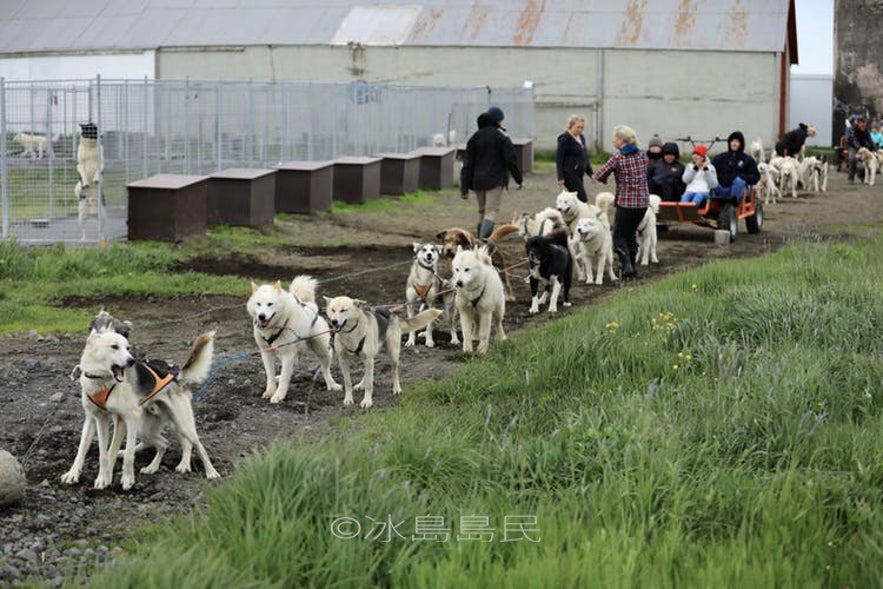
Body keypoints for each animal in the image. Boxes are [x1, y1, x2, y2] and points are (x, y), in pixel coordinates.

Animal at [250, 276, 348, 404]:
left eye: (270, 304)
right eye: (258, 304)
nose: (261, 316)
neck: (275, 327)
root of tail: (308, 305)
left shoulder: (288, 354)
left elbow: (285, 376)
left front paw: (279, 395)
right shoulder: (267, 352)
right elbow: (270, 375)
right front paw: (270, 391)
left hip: (323, 350)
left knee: (325, 369)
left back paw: (332, 384)